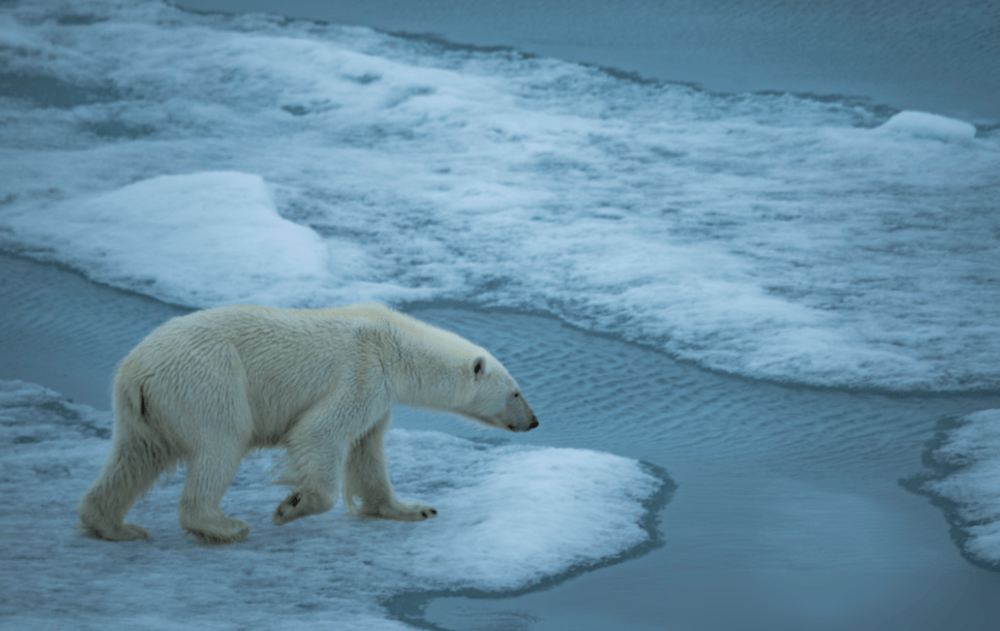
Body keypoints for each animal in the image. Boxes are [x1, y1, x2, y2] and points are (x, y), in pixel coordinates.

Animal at [76, 302, 540, 544]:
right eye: (516, 392)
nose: (534, 422)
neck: (395, 344)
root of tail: (136, 371)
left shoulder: (379, 397)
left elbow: (368, 452)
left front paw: (413, 508)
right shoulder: (363, 373)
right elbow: (321, 432)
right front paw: (291, 506)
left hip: (146, 409)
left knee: (135, 457)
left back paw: (115, 526)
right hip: (208, 380)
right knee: (221, 443)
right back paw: (224, 525)